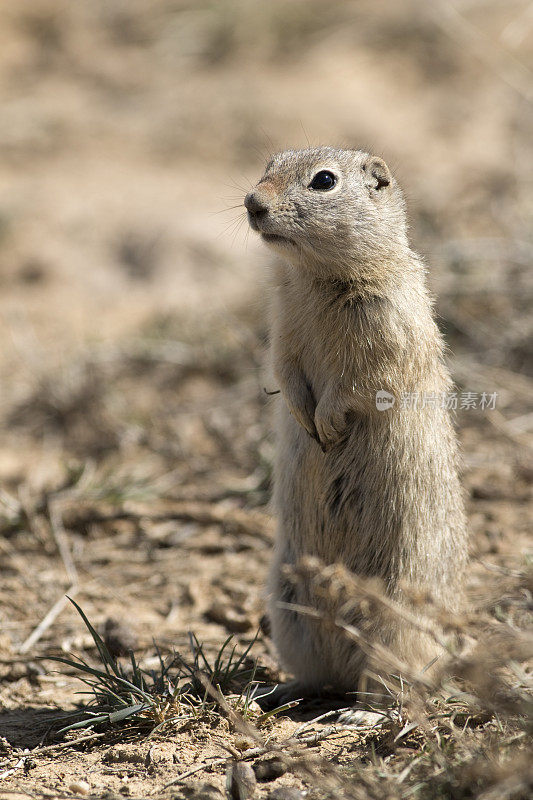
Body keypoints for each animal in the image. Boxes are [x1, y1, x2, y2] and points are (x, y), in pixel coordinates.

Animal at [244, 148, 466, 692]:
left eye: (324, 181)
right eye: (270, 163)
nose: (252, 202)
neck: (314, 276)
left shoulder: (383, 325)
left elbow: (358, 382)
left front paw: (327, 425)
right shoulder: (282, 324)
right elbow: (284, 368)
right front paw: (305, 418)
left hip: (398, 621)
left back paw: (361, 708)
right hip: (287, 608)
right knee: (319, 675)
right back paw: (280, 690)